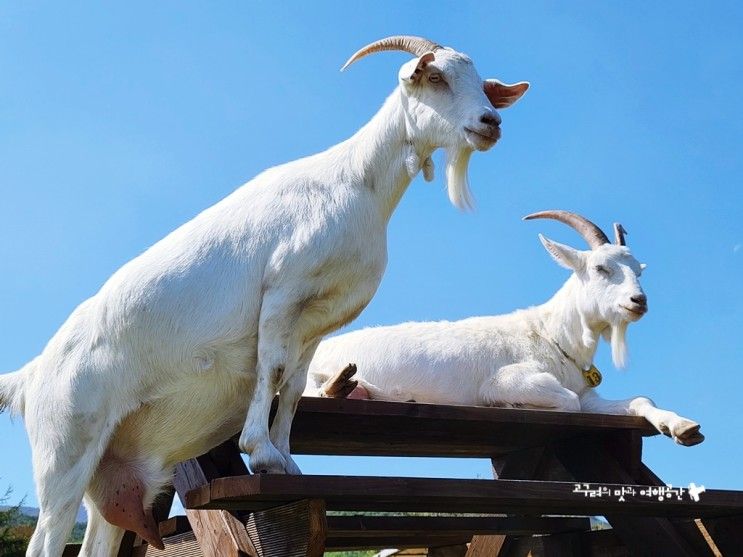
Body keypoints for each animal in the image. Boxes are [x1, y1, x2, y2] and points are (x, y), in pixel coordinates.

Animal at [0, 35, 528, 556]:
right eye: (435, 76)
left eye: (482, 84)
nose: (491, 122)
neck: (355, 182)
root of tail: (28, 378)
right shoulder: (283, 289)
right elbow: (268, 368)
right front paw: (262, 453)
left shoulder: (318, 320)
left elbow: (292, 386)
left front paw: (288, 461)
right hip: (65, 453)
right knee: (46, 536)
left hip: (114, 474)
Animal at [306, 211, 704, 446]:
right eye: (600, 268)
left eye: (638, 271)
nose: (639, 301)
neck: (550, 335)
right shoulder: (505, 378)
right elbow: (567, 401)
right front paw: (514, 404)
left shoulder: (590, 395)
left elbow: (638, 399)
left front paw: (682, 427)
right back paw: (339, 385)